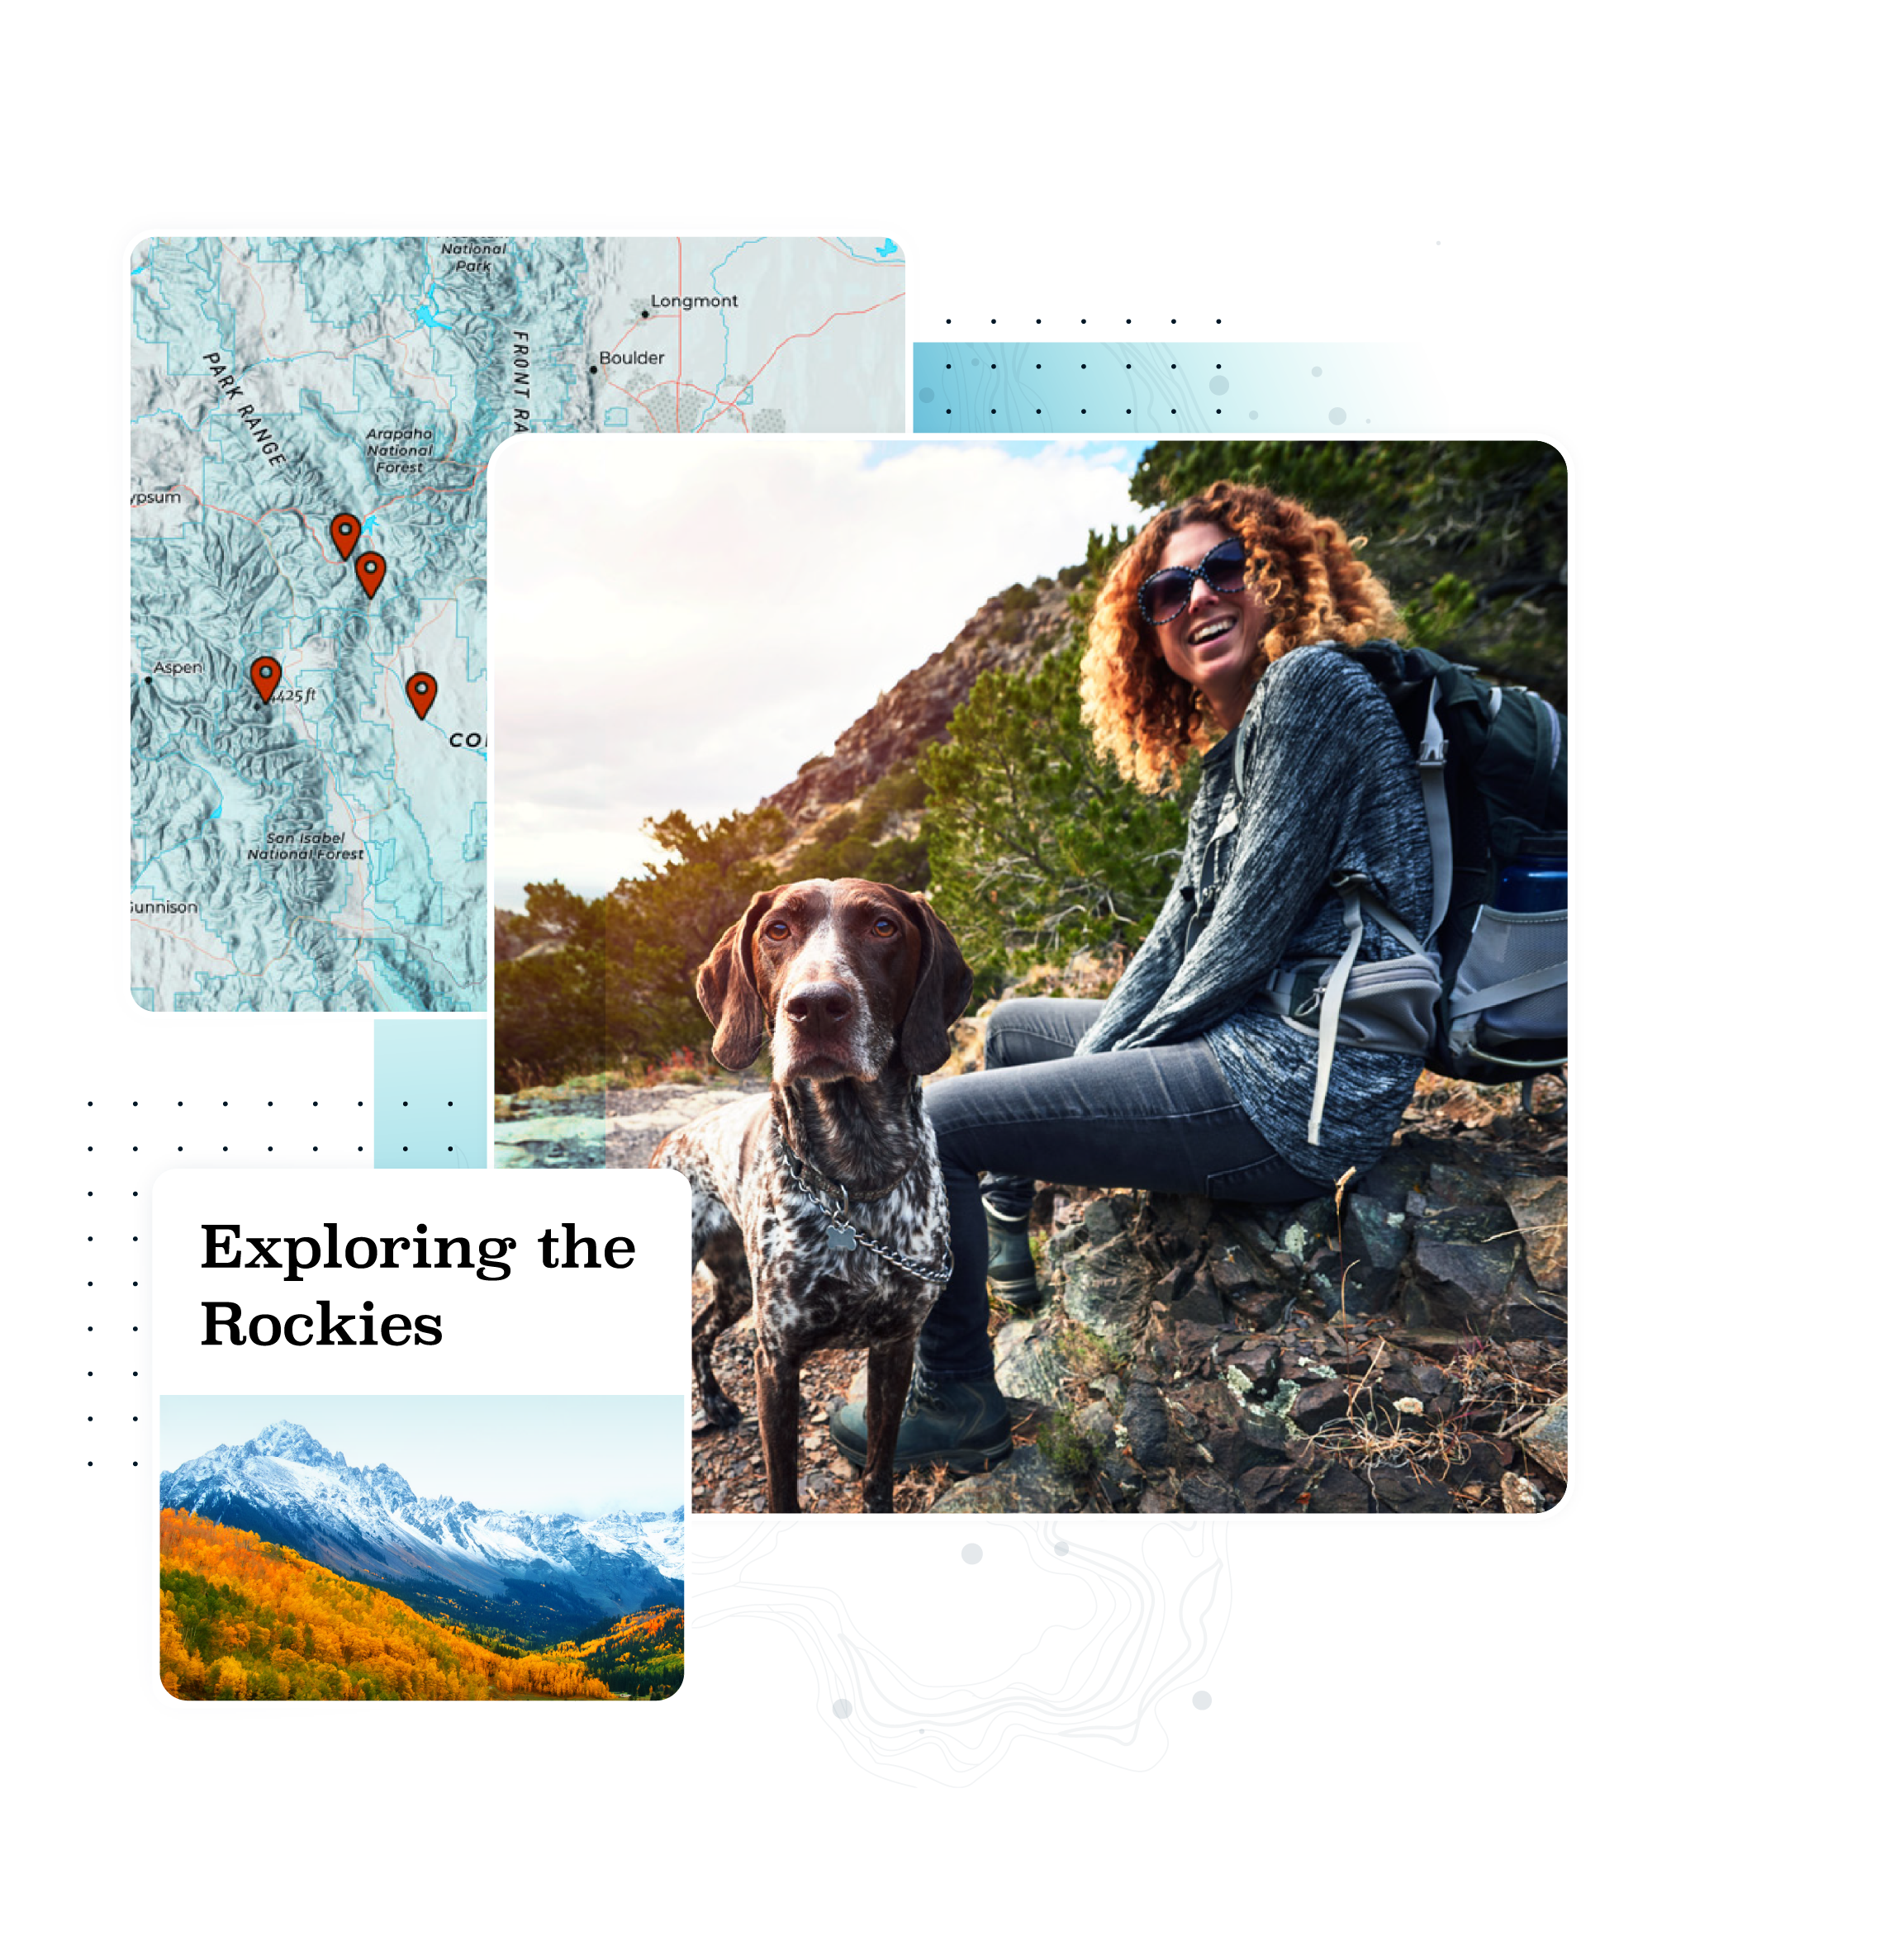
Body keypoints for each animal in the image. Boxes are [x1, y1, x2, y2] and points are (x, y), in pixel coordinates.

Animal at [657, 883, 984, 1516]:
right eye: (777, 930)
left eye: (883, 926)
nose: (814, 1007)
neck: (854, 1178)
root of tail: (671, 1137)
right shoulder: (777, 1360)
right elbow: (782, 1489)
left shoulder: (896, 1346)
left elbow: (879, 1470)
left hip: (737, 1288)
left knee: (700, 1331)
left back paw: (716, 1403)